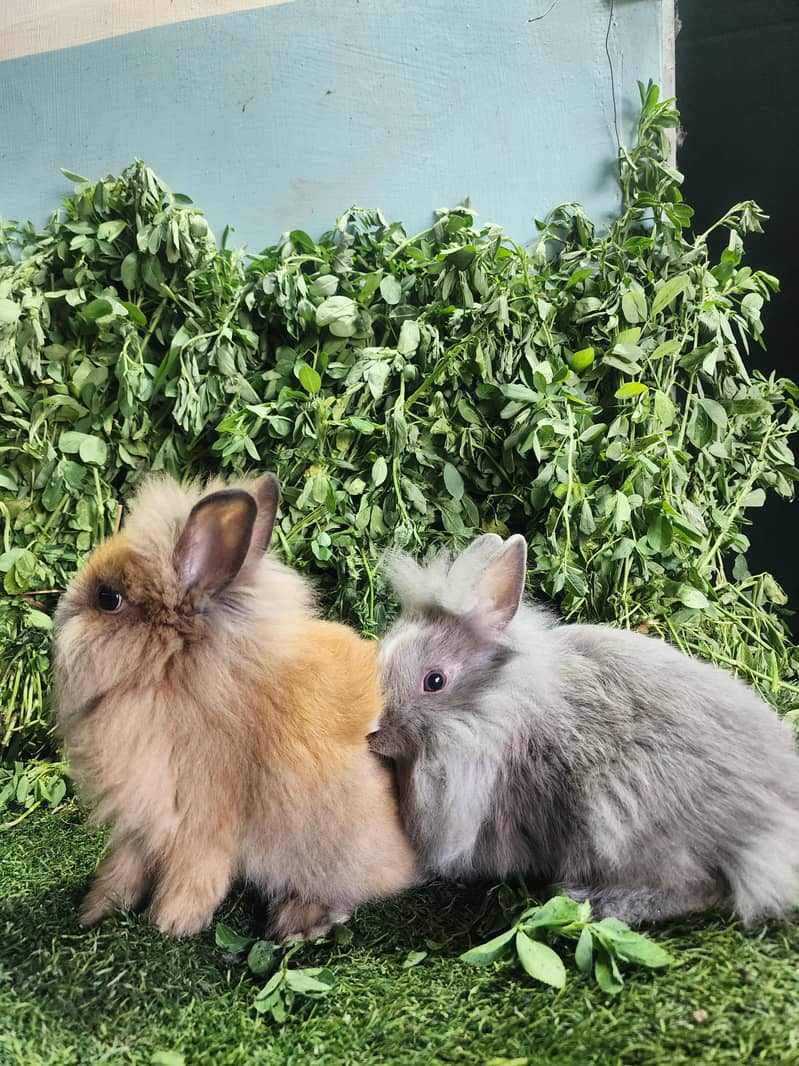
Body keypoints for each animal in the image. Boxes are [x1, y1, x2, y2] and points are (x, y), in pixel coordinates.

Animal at [54, 471, 415, 940]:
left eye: (107, 598)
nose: (61, 611)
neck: (177, 676)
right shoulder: (140, 821)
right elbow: (123, 869)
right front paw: (95, 911)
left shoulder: (199, 822)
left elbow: (193, 874)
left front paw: (169, 925)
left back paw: (300, 921)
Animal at [369, 532, 799, 925]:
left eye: (435, 681)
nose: (373, 733)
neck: (494, 708)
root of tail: (772, 823)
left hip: (619, 815)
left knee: (701, 888)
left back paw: (597, 901)